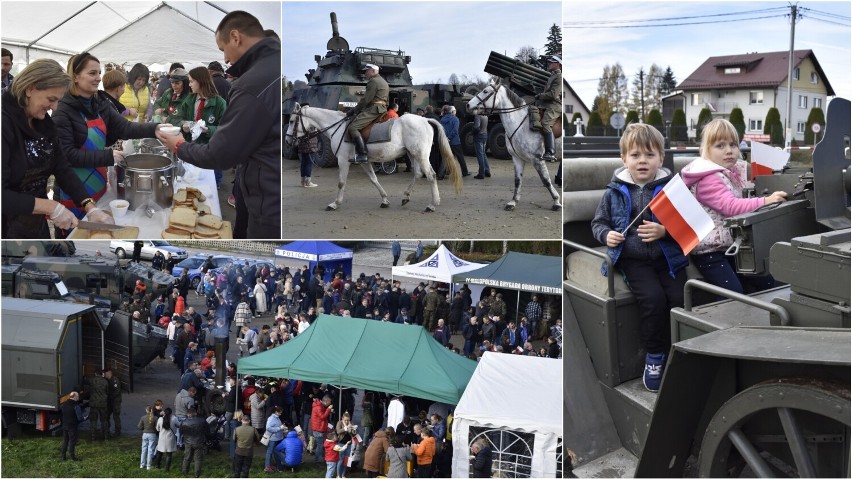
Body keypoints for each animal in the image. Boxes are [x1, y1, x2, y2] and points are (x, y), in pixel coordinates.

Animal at [284, 105, 460, 212]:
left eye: (292, 121)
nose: (287, 141)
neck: (337, 128)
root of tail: (425, 119)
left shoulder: (343, 160)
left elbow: (341, 182)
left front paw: (335, 203)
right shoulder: (364, 161)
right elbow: (374, 179)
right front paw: (385, 200)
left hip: (421, 155)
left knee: (430, 175)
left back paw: (432, 204)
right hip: (413, 155)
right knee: (418, 174)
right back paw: (406, 196)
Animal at [466, 80, 560, 210]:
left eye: (485, 91)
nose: (468, 105)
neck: (522, 124)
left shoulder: (538, 159)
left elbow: (546, 180)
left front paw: (556, 201)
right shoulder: (517, 158)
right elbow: (517, 180)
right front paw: (513, 202)